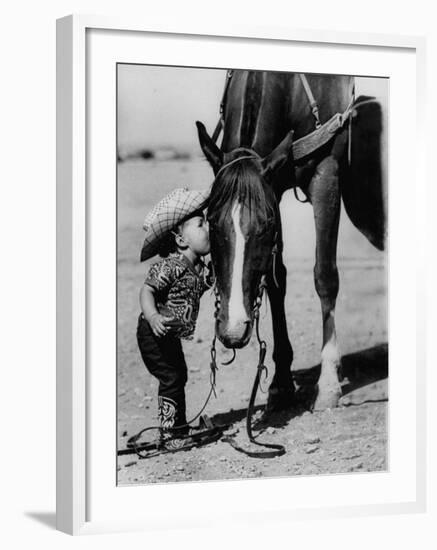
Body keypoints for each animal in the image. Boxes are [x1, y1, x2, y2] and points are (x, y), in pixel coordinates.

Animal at [196, 69, 384, 412]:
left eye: (265, 224)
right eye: (211, 220)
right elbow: (275, 280)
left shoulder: (326, 174)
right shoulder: (275, 186)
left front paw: (328, 384)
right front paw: (281, 383)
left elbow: (325, 277)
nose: (233, 329)